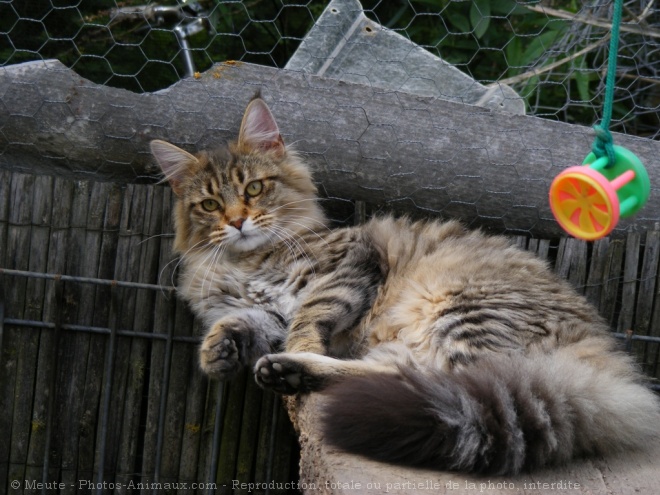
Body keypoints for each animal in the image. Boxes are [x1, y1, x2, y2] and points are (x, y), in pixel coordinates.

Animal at [151, 94, 660, 476]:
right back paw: (291, 371)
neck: (246, 262)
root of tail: (606, 363)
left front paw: (294, 345)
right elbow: (239, 320)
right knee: (403, 377)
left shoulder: (347, 267)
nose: (237, 222)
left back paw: (294, 367)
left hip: (458, 307)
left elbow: (309, 315)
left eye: (254, 189)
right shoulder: (265, 310)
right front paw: (217, 353)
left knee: (443, 381)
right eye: (210, 205)